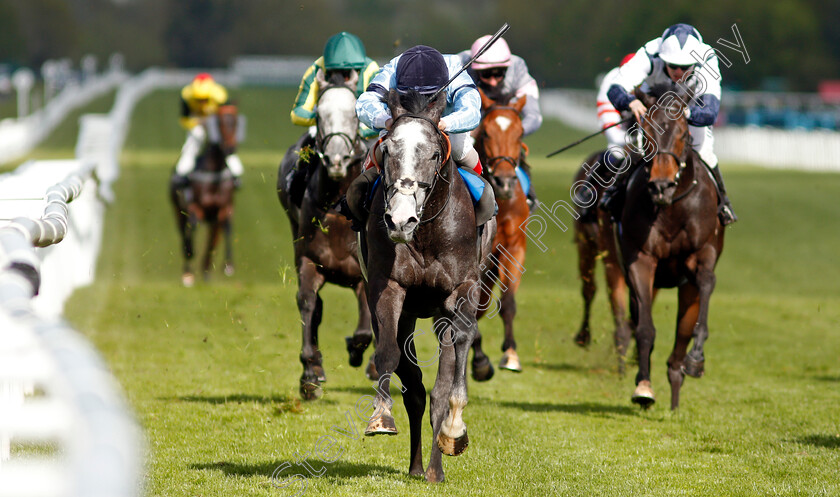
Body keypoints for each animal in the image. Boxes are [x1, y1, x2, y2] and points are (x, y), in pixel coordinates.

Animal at [171, 102, 241, 284]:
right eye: (219, 122)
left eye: (236, 121)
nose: (230, 148)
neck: (213, 174)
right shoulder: (194, 207)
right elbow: (192, 227)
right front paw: (190, 258)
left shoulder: (223, 209)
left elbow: (224, 231)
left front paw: (227, 265)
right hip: (177, 210)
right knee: (184, 232)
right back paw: (188, 271)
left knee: (213, 238)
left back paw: (206, 270)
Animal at [278, 69, 372, 400]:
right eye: (319, 114)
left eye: (355, 113)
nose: (335, 161)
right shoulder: (309, 260)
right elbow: (308, 303)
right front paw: (310, 373)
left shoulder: (364, 272)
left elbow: (365, 327)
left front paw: (356, 351)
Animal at [620, 86, 724, 410]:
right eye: (646, 132)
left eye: (682, 134)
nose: (661, 186)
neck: (672, 208)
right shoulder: (640, 260)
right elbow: (644, 329)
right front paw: (643, 387)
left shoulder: (702, 255)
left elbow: (706, 285)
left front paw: (696, 359)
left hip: (686, 286)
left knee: (681, 334)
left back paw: (679, 383)